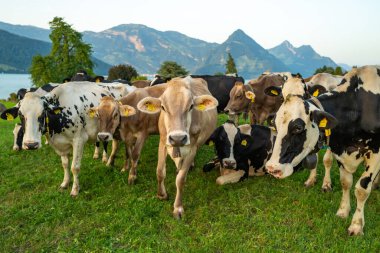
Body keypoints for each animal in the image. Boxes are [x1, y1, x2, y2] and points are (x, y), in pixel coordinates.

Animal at [0, 82, 134, 197]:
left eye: (42, 113)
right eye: (21, 115)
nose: (31, 144)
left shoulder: (79, 140)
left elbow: (75, 167)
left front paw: (75, 189)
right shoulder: (60, 144)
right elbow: (65, 164)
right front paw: (65, 183)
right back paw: (110, 162)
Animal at [137, 76, 217, 218]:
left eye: (191, 106)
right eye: (163, 107)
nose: (178, 138)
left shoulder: (192, 148)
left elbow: (180, 179)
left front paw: (178, 208)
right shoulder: (163, 141)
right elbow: (160, 171)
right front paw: (161, 194)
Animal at [264, 65, 380, 235]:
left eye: (298, 128)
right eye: (275, 125)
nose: (272, 168)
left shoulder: (375, 152)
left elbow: (361, 189)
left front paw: (356, 225)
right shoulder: (339, 150)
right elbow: (346, 182)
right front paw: (343, 211)